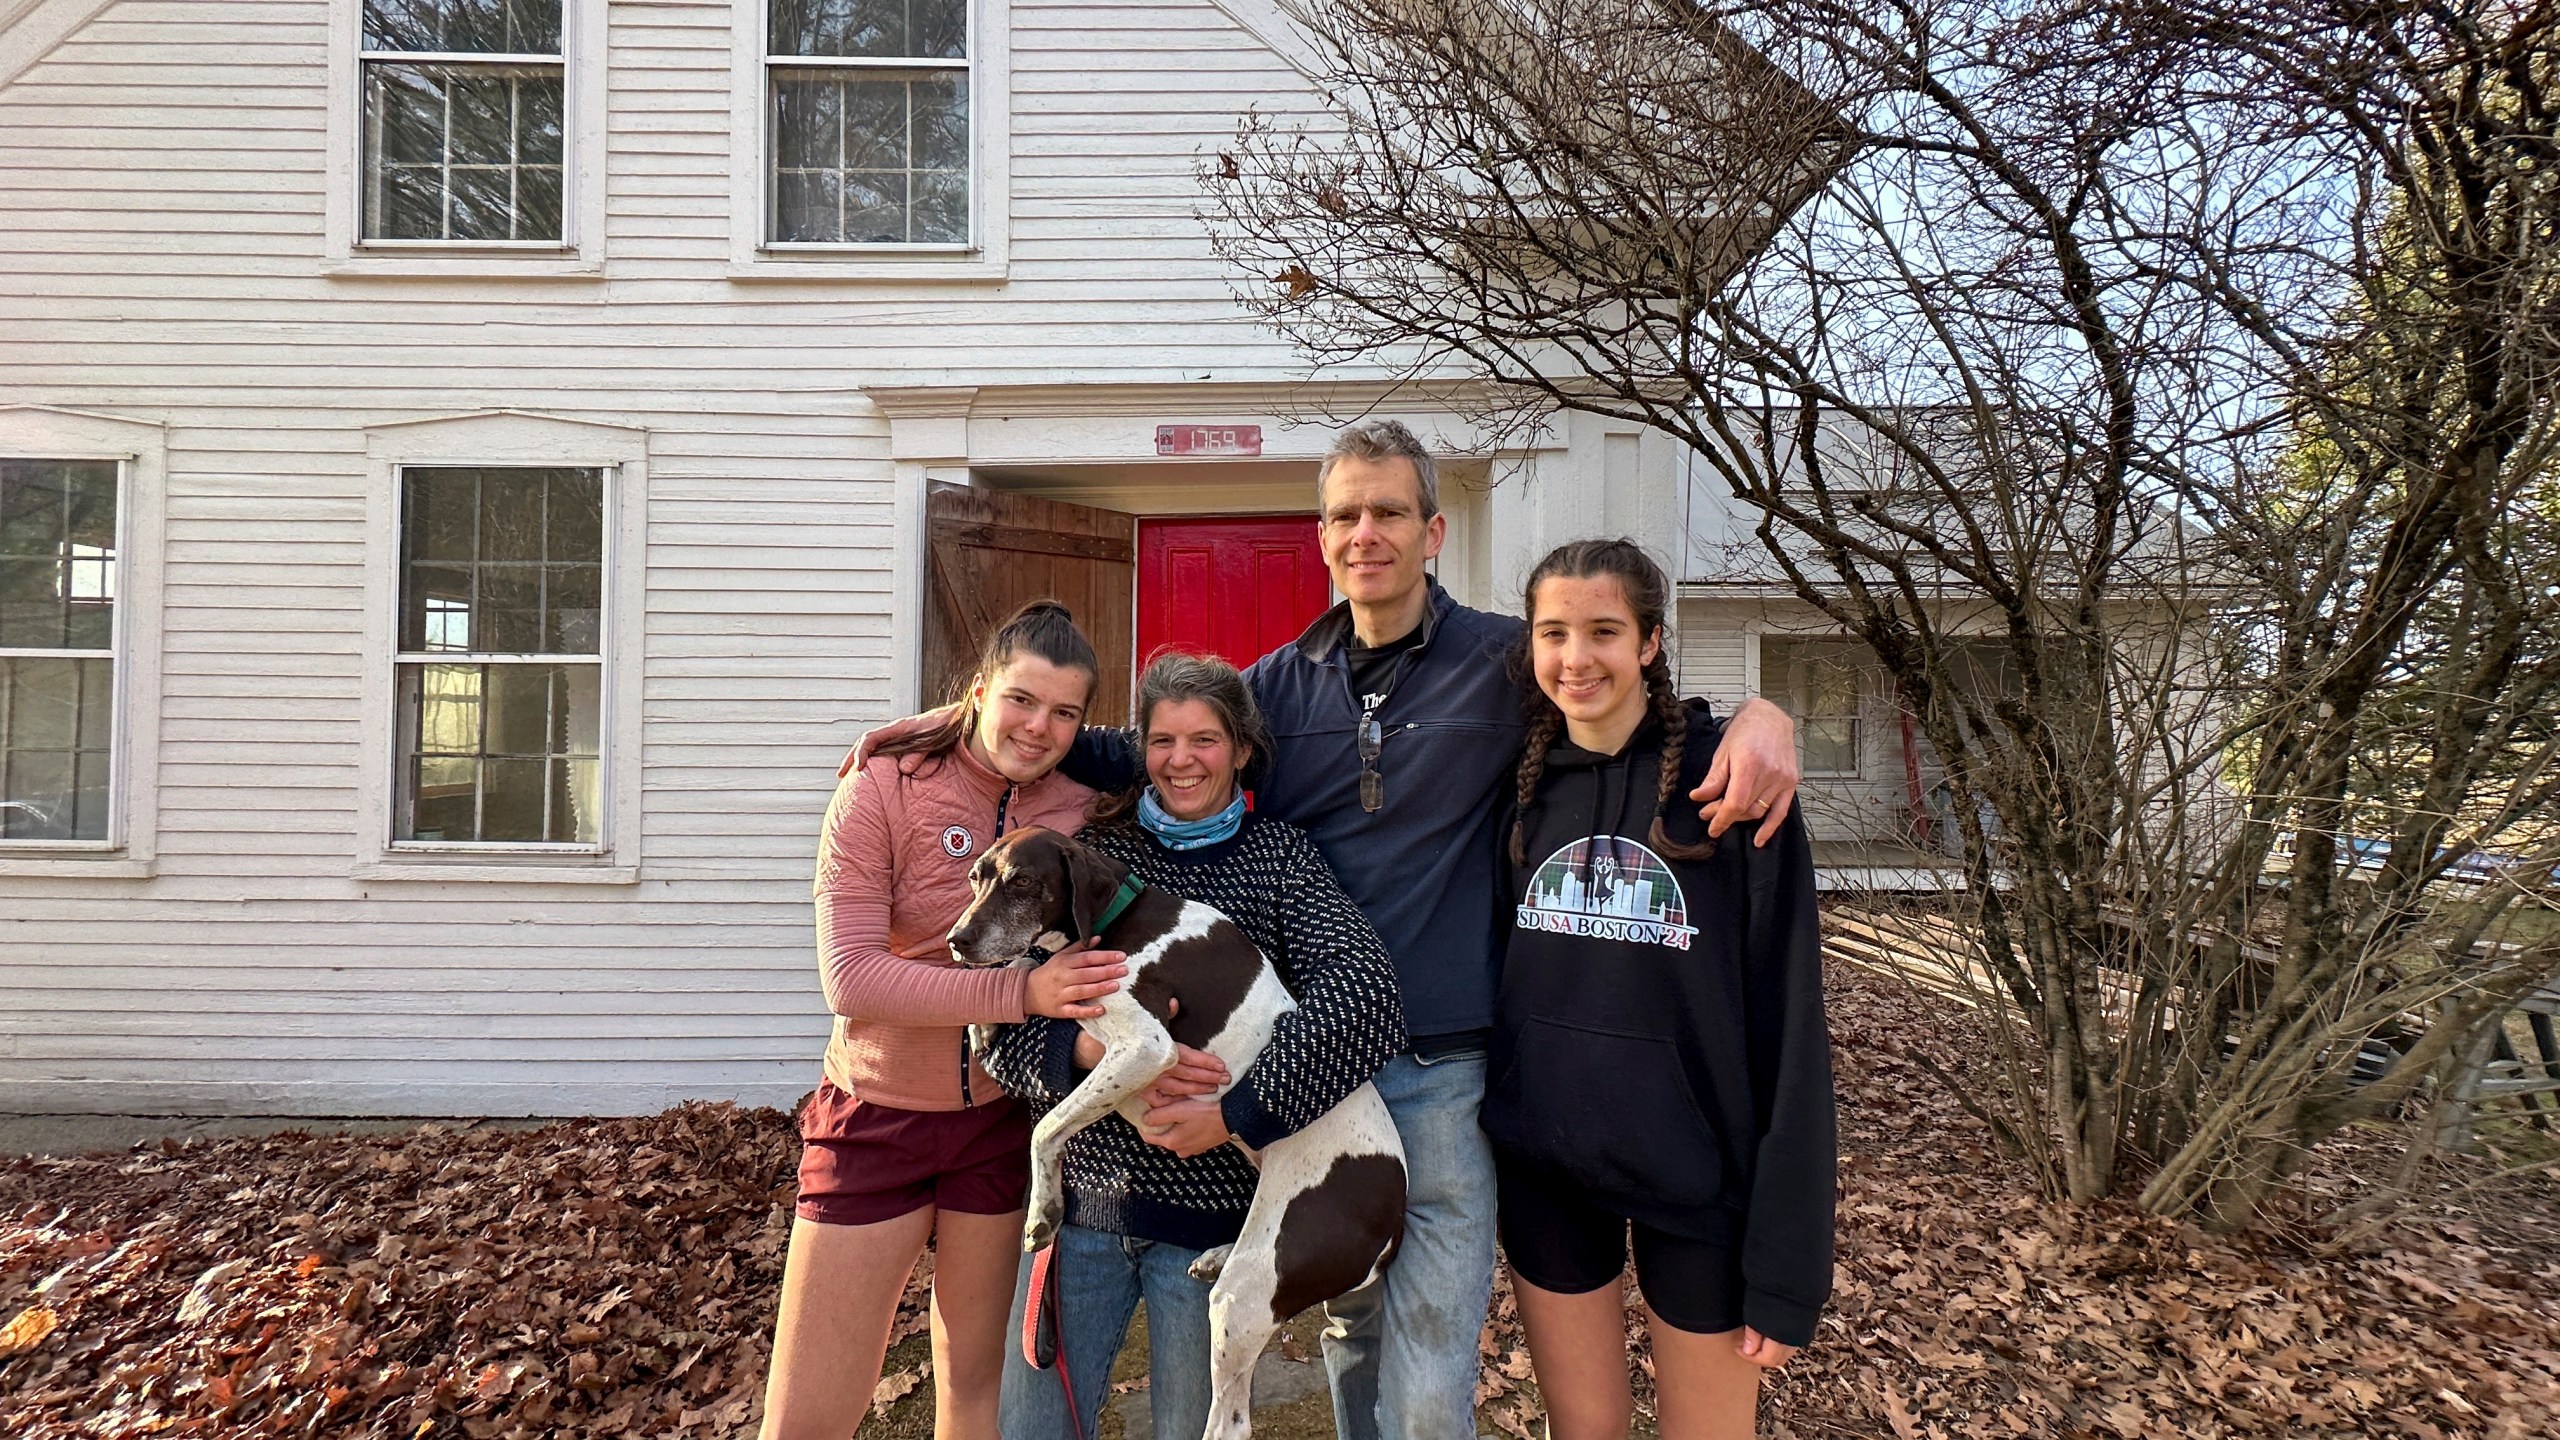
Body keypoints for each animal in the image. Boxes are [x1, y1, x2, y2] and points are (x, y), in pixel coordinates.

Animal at [952, 819, 1413, 1434]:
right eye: (975, 877)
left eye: (1023, 881)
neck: (1118, 917)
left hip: (1248, 1293)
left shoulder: (1146, 1047)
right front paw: (988, 1021)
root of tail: (1394, 1219)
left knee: (1231, 1422)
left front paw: (1043, 1210)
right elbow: (1030, 971)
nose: (957, 940)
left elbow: (1045, 1128)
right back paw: (1218, 1250)